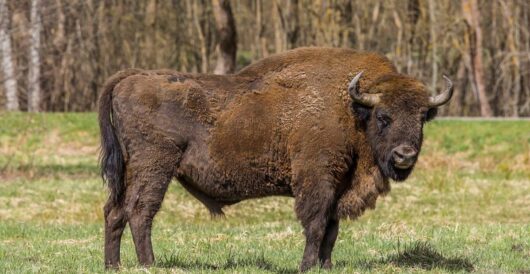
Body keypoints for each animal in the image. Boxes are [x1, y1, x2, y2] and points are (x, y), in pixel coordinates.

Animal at [100, 46, 454, 270]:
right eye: (383, 116)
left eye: (422, 116)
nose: (405, 155)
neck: (351, 108)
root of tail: (132, 77)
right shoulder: (317, 180)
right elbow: (316, 225)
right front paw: (306, 266)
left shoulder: (338, 185)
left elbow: (332, 229)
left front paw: (326, 266)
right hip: (155, 167)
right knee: (140, 211)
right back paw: (149, 263)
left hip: (130, 170)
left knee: (114, 211)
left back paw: (113, 265)